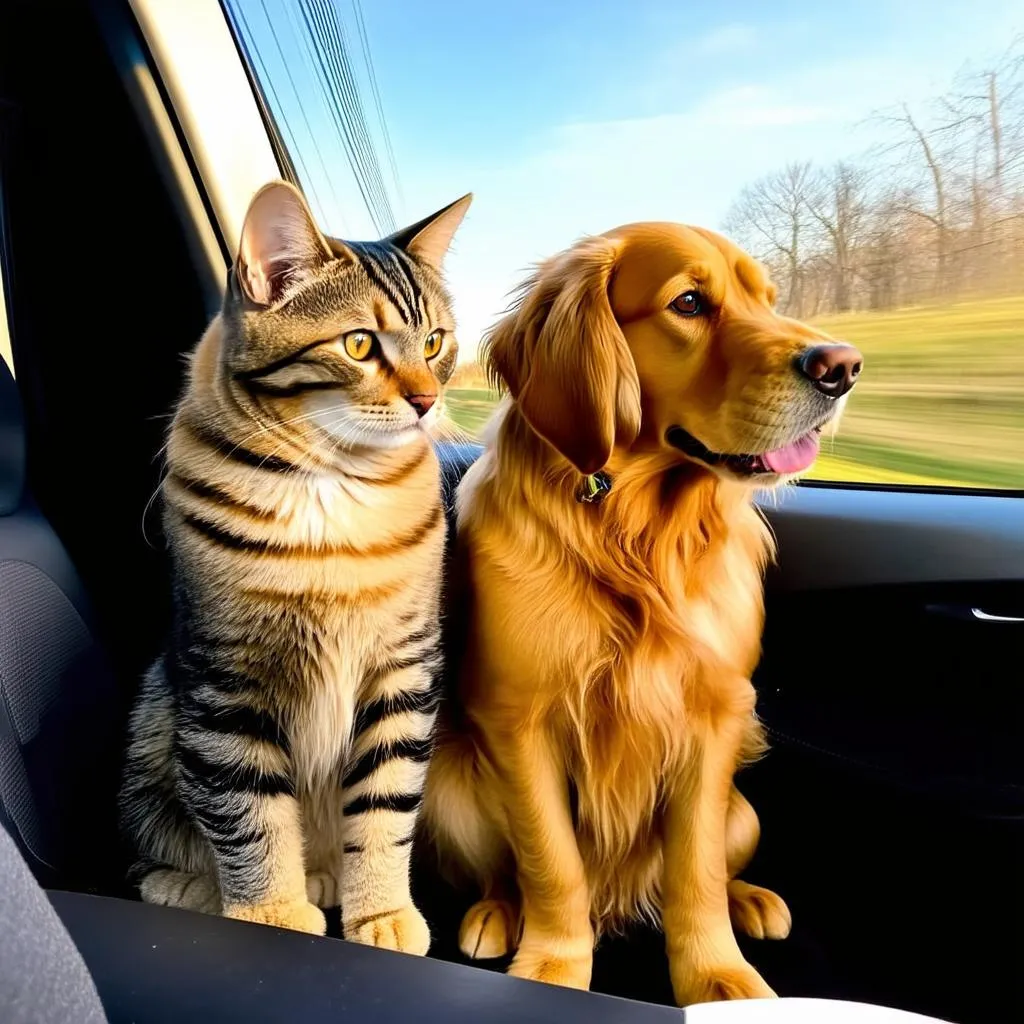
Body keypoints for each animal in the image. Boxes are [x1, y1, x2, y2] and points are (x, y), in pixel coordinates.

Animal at [118, 178, 471, 950]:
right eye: (359, 343)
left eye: (435, 342)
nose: (428, 400)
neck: (333, 489)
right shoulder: (224, 683)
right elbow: (245, 812)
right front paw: (268, 912)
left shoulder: (401, 670)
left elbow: (384, 809)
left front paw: (380, 910)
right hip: (154, 725)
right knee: (158, 846)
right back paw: (197, 887)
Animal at [419, 220, 860, 1003]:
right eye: (688, 302)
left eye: (769, 299)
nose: (843, 366)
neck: (636, 531)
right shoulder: (521, 719)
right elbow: (551, 863)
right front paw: (554, 966)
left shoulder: (713, 715)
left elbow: (695, 871)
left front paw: (718, 977)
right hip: (453, 794)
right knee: (507, 869)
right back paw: (497, 912)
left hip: (743, 812)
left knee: (720, 864)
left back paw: (751, 898)